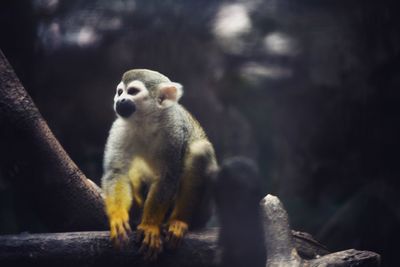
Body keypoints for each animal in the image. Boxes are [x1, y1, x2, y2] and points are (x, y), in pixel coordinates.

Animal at [101, 69, 217, 262]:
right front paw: (118, 217)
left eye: (132, 91)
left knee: (200, 150)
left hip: (206, 208)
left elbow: (168, 177)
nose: (120, 100)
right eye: (120, 92)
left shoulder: (173, 128)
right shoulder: (120, 128)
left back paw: (179, 220)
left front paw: (149, 225)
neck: (145, 121)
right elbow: (116, 172)